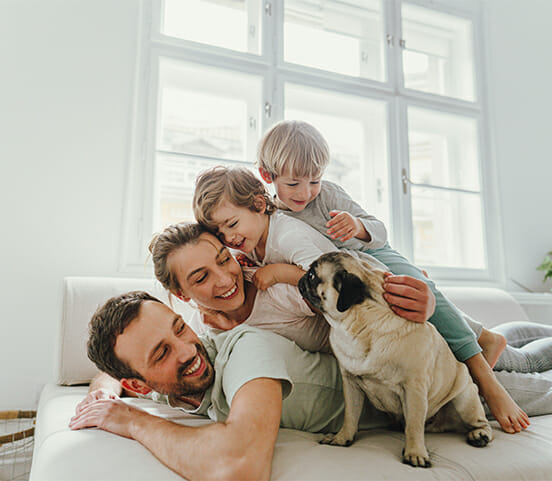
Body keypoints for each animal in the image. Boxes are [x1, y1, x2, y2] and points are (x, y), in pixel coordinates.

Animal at [300, 249, 494, 466]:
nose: (302, 276)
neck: (359, 326)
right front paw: (342, 438)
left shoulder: (414, 388)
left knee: (479, 422)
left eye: (312, 275)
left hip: (465, 399)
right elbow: (350, 416)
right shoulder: (350, 384)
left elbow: (414, 425)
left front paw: (415, 453)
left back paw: (479, 435)